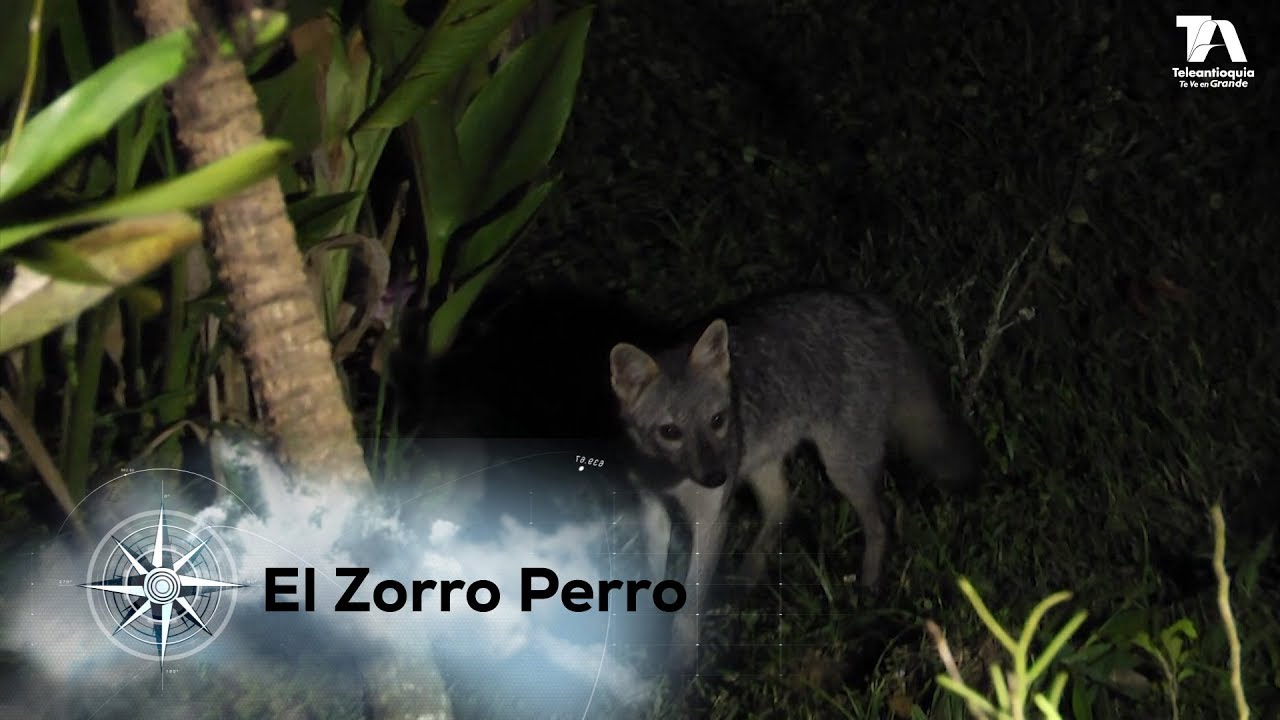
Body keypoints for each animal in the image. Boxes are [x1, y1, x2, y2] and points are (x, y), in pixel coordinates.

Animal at [608, 289, 978, 673]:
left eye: (717, 420)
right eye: (670, 432)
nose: (716, 477)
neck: (670, 476)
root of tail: (868, 305)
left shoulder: (711, 518)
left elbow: (690, 600)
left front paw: (679, 665)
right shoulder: (653, 509)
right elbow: (652, 578)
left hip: (840, 470)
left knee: (880, 523)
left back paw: (868, 591)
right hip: (765, 467)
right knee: (782, 508)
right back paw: (746, 580)